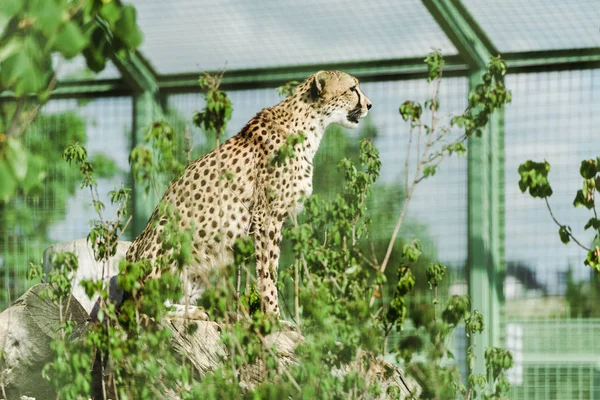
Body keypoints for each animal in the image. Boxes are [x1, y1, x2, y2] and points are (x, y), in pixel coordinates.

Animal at [126, 70, 370, 318]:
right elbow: (267, 270)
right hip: (170, 230)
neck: (310, 125)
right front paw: (273, 315)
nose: (369, 105)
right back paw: (191, 312)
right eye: (352, 89)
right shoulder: (266, 216)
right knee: (148, 305)